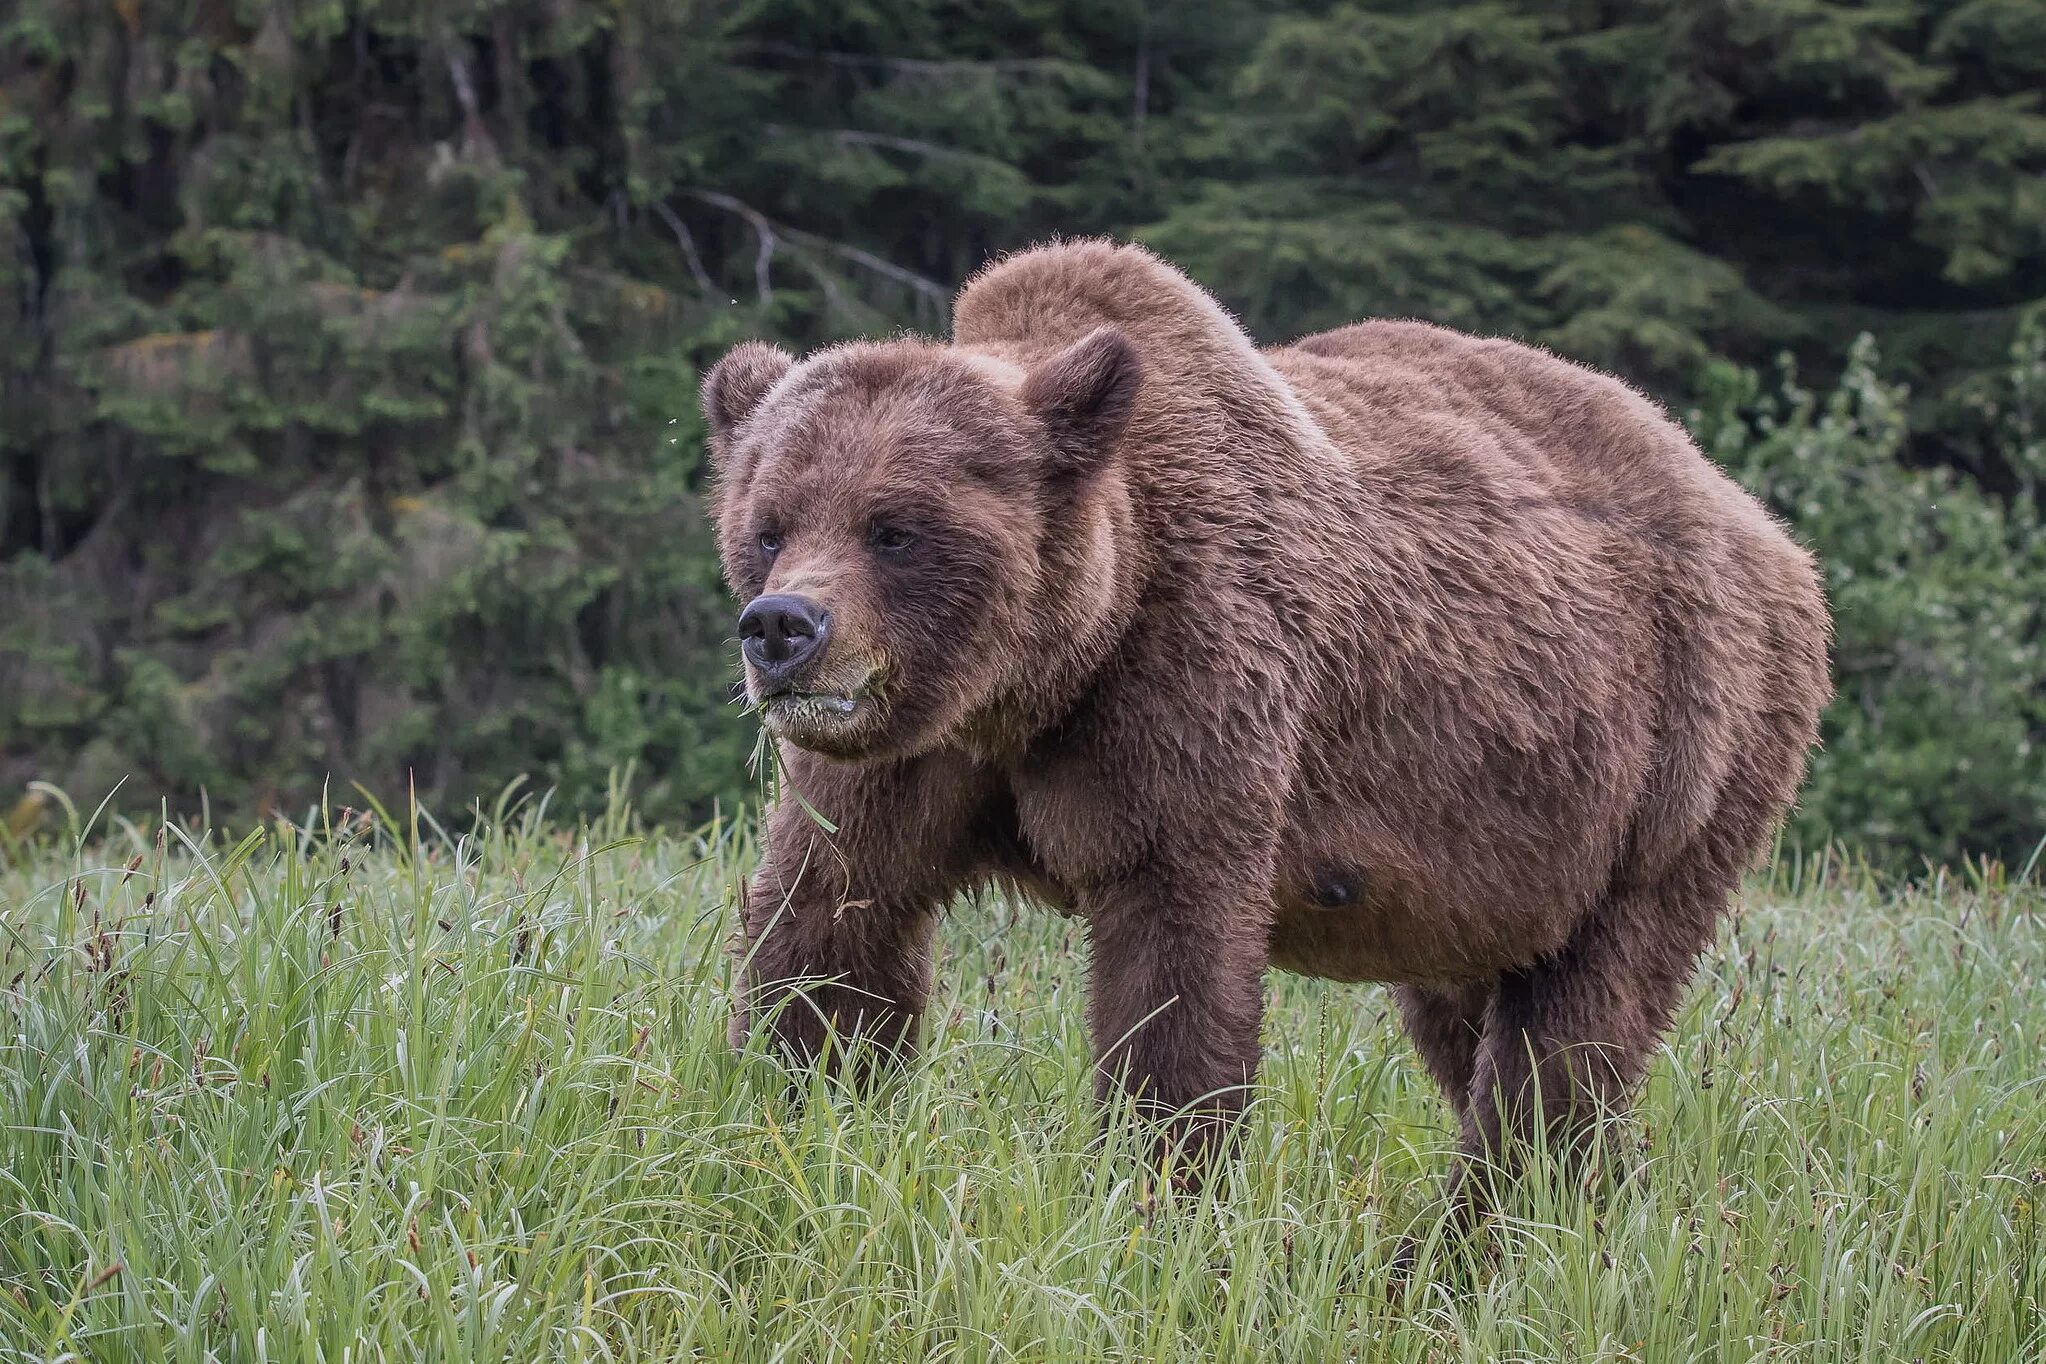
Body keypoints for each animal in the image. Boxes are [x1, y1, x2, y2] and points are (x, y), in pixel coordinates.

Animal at [707, 240, 1841, 1202]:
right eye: (768, 525)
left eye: (895, 527)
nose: (783, 627)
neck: (1034, 684)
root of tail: (1771, 533)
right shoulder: (913, 755)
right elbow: (833, 922)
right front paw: (796, 1117)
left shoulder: (1193, 688)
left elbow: (1172, 966)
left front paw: (1158, 1189)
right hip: (1495, 857)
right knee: (1477, 1016)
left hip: (1682, 766)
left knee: (1571, 1037)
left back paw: (1476, 1239)